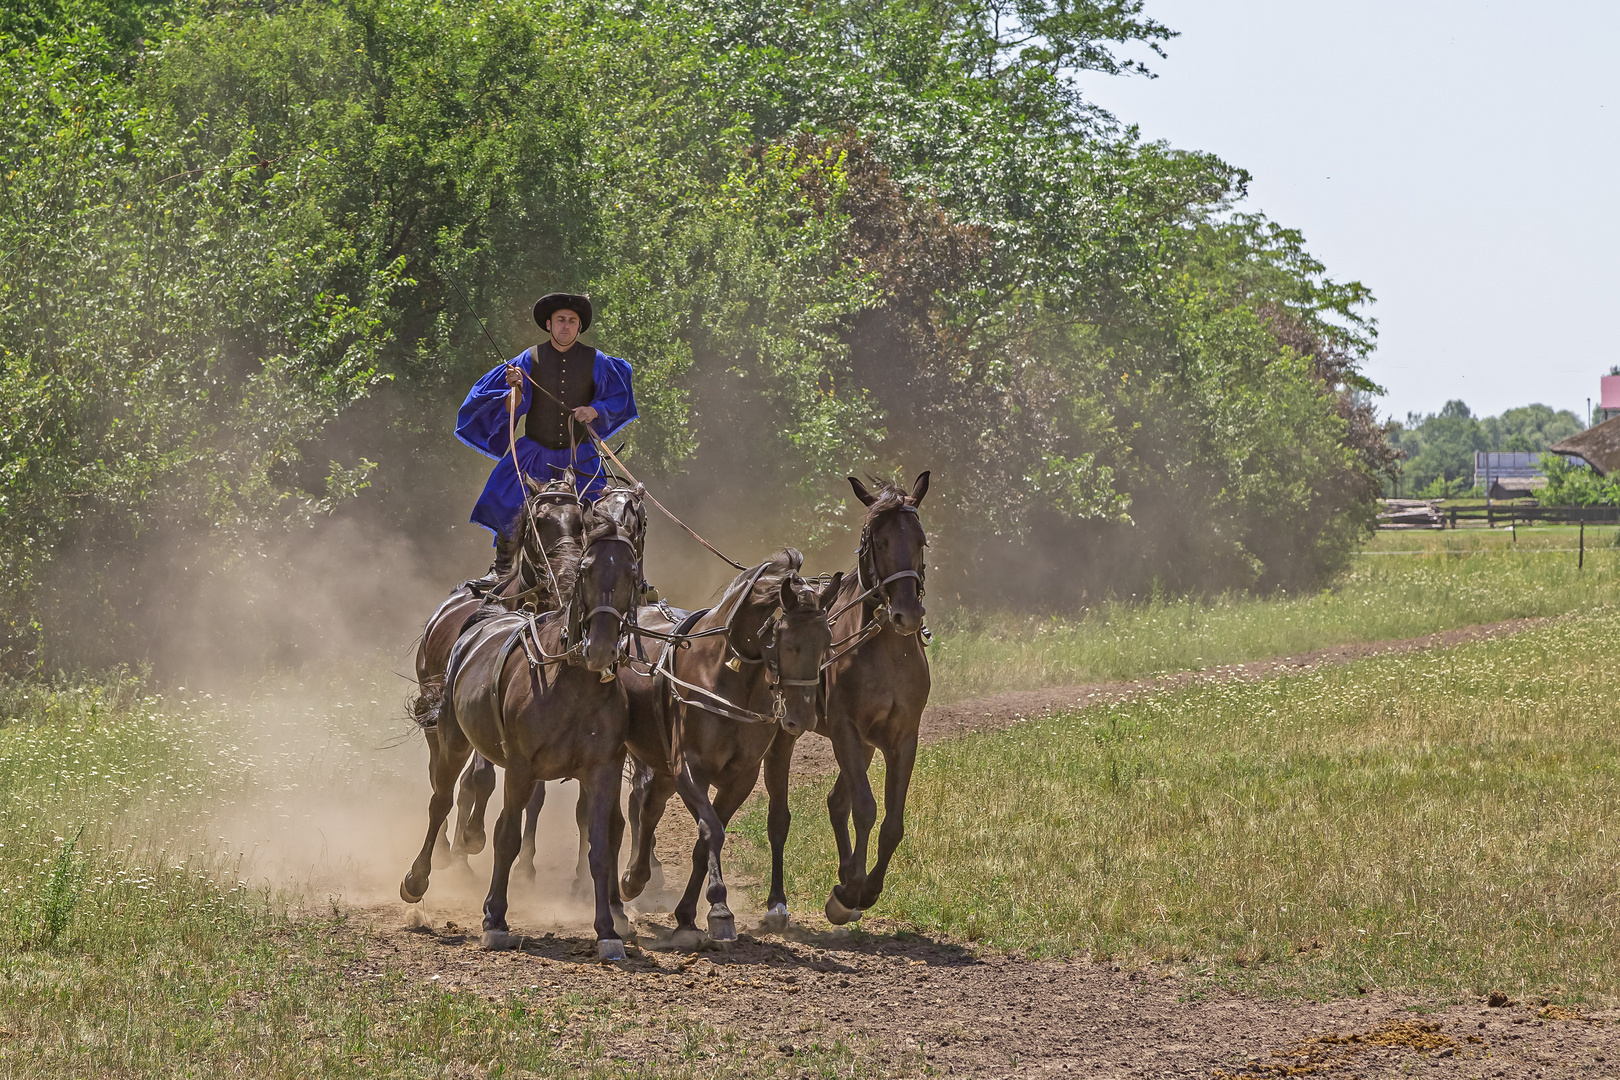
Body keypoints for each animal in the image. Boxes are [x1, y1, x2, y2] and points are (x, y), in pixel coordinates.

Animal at [401, 505, 641, 952]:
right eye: (587, 569)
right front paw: (495, 918)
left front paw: (607, 928)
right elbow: (506, 835)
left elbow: (601, 845)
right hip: (452, 739)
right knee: (441, 799)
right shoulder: (520, 767)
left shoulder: (603, 770)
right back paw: (419, 876)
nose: (600, 647)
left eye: (631, 571)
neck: (572, 681)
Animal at [609, 553, 835, 952]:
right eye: (788, 642)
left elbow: (706, 840)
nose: (803, 717)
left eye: (826, 642)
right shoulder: (689, 768)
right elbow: (711, 830)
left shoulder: (739, 777)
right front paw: (719, 909)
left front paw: (687, 916)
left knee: (648, 806)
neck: (726, 676)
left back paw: (636, 877)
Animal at [761, 472, 933, 932]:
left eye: (921, 540)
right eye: (879, 540)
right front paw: (851, 887)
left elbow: (891, 822)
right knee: (781, 816)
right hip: (787, 735)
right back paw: (777, 903)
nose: (907, 613)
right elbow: (866, 809)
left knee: (837, 804)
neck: (887, 651)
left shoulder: (901, 738)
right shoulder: (845, 731)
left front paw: (859, 889)